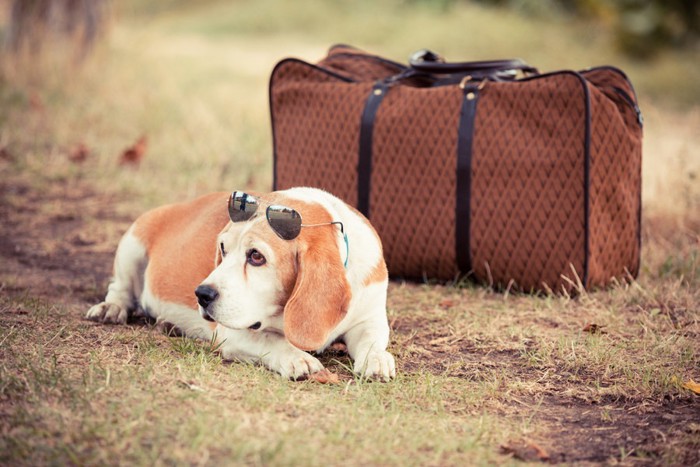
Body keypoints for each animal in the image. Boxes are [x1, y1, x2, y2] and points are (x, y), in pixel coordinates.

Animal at [83, 188, 394, 382]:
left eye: (256, 256)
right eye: (223, 248)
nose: (201, 294)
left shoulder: (370, 317)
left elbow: (371, 338)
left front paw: (376, 358)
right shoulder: (231, 333)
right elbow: (271, 338)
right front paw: (297, 358)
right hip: (132, 243)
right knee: (121, 289)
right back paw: (111, 308)